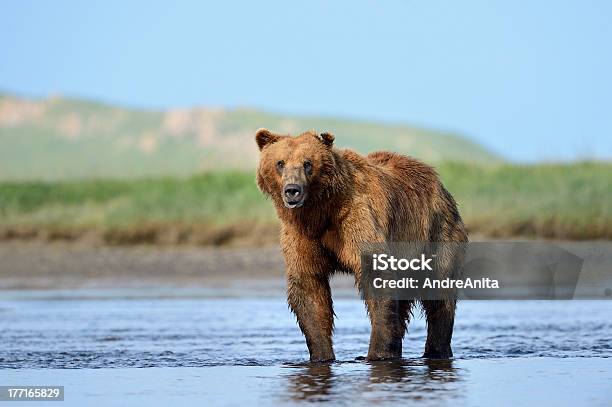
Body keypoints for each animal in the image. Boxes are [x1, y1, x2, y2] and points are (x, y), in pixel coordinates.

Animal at [256, 129, 466, 362]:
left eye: (307, 163)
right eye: (280, 163)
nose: (292, 190)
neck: (321, 211)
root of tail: (439, 184)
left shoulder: (356, 219)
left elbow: (377, 274)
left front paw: (377, 354)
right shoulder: (301, 234)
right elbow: (309, 286)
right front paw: (322, 355)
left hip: (436, 231)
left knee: (439, 293)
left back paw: (436, 351)